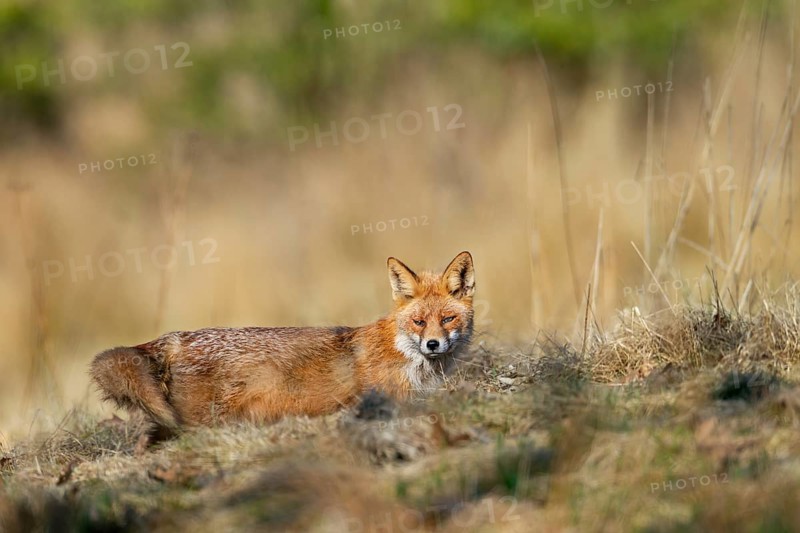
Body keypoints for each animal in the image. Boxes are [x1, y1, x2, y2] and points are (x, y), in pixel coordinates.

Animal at [90, 251, 475, 449]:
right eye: (419, 322)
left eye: (448, 318)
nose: (433, 344)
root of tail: (172, 338)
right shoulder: (393, 397)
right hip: (201, 422)